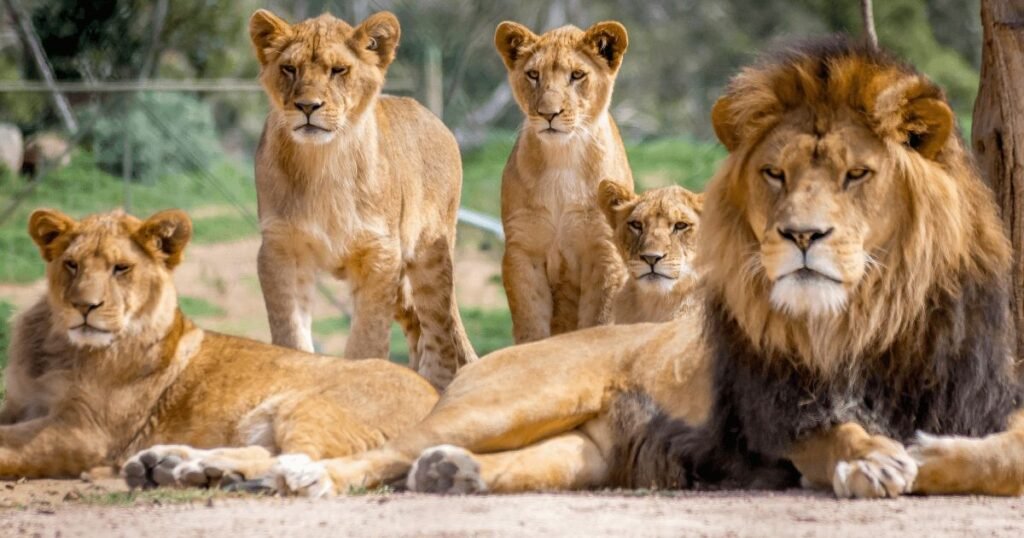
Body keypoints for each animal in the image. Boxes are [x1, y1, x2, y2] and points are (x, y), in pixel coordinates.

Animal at [0, 208, 437, 486]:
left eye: (120, 268)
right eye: (71, 264)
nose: (84, 306)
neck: (60, 346)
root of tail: (436, 396)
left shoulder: (85, 431)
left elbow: (8, 445)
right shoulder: (20, 404)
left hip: (312, 407)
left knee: (299, 458)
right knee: (269, 453)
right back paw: (174, 465)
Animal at [249, 9, 475, 388]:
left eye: (338, 70)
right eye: (289, 69)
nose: (307, 106)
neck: (322, 162)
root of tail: (435, 119)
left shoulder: (379, 253)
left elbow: (366, 340)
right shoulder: (281, 249)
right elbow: (291, 332)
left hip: (429, 254)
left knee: (440, 334)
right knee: (417, 328)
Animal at [496, 20, 633, 343]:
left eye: (577, 75)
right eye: (533, 74)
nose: (549, 114)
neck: (562, 157)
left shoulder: (604, 251)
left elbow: (599, 321)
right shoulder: (523, 249)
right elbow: (531, 323)